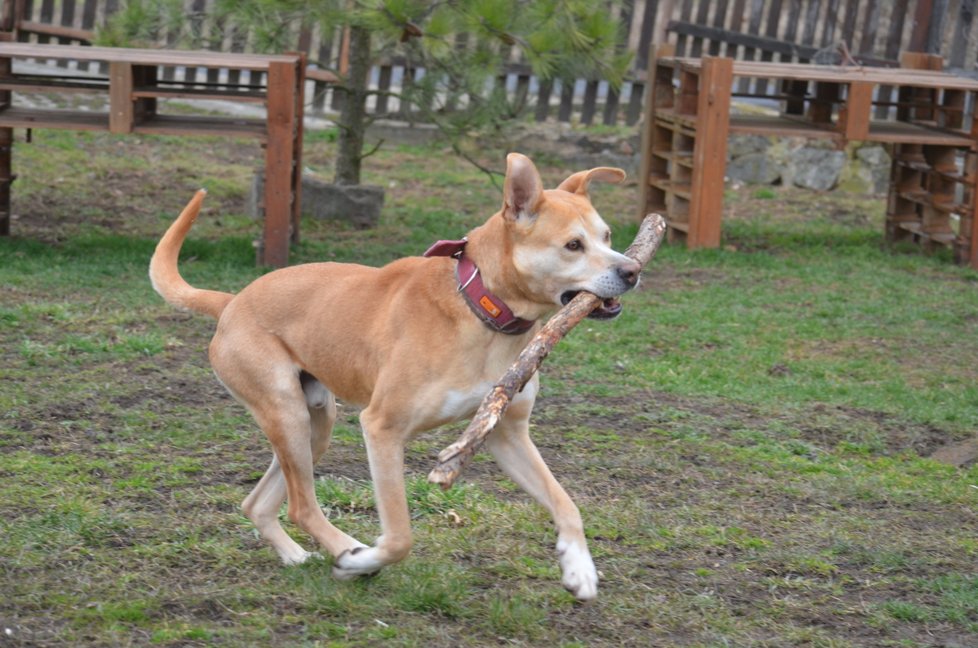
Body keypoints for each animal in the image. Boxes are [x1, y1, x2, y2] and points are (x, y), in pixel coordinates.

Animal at [149, 153, 640, 604]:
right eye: (573, 245)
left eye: (607, 236)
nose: (632, 270)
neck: (479, 308)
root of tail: (231, 302)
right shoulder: (382, 429)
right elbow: (400, 535)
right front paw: (364, 559)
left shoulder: (505, 432)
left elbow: (566, 503)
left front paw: (579, 569)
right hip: (285, 413)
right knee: (302, 505)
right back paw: (349, 552)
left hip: (314, 424)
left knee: (262, 503)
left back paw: (295, 555)